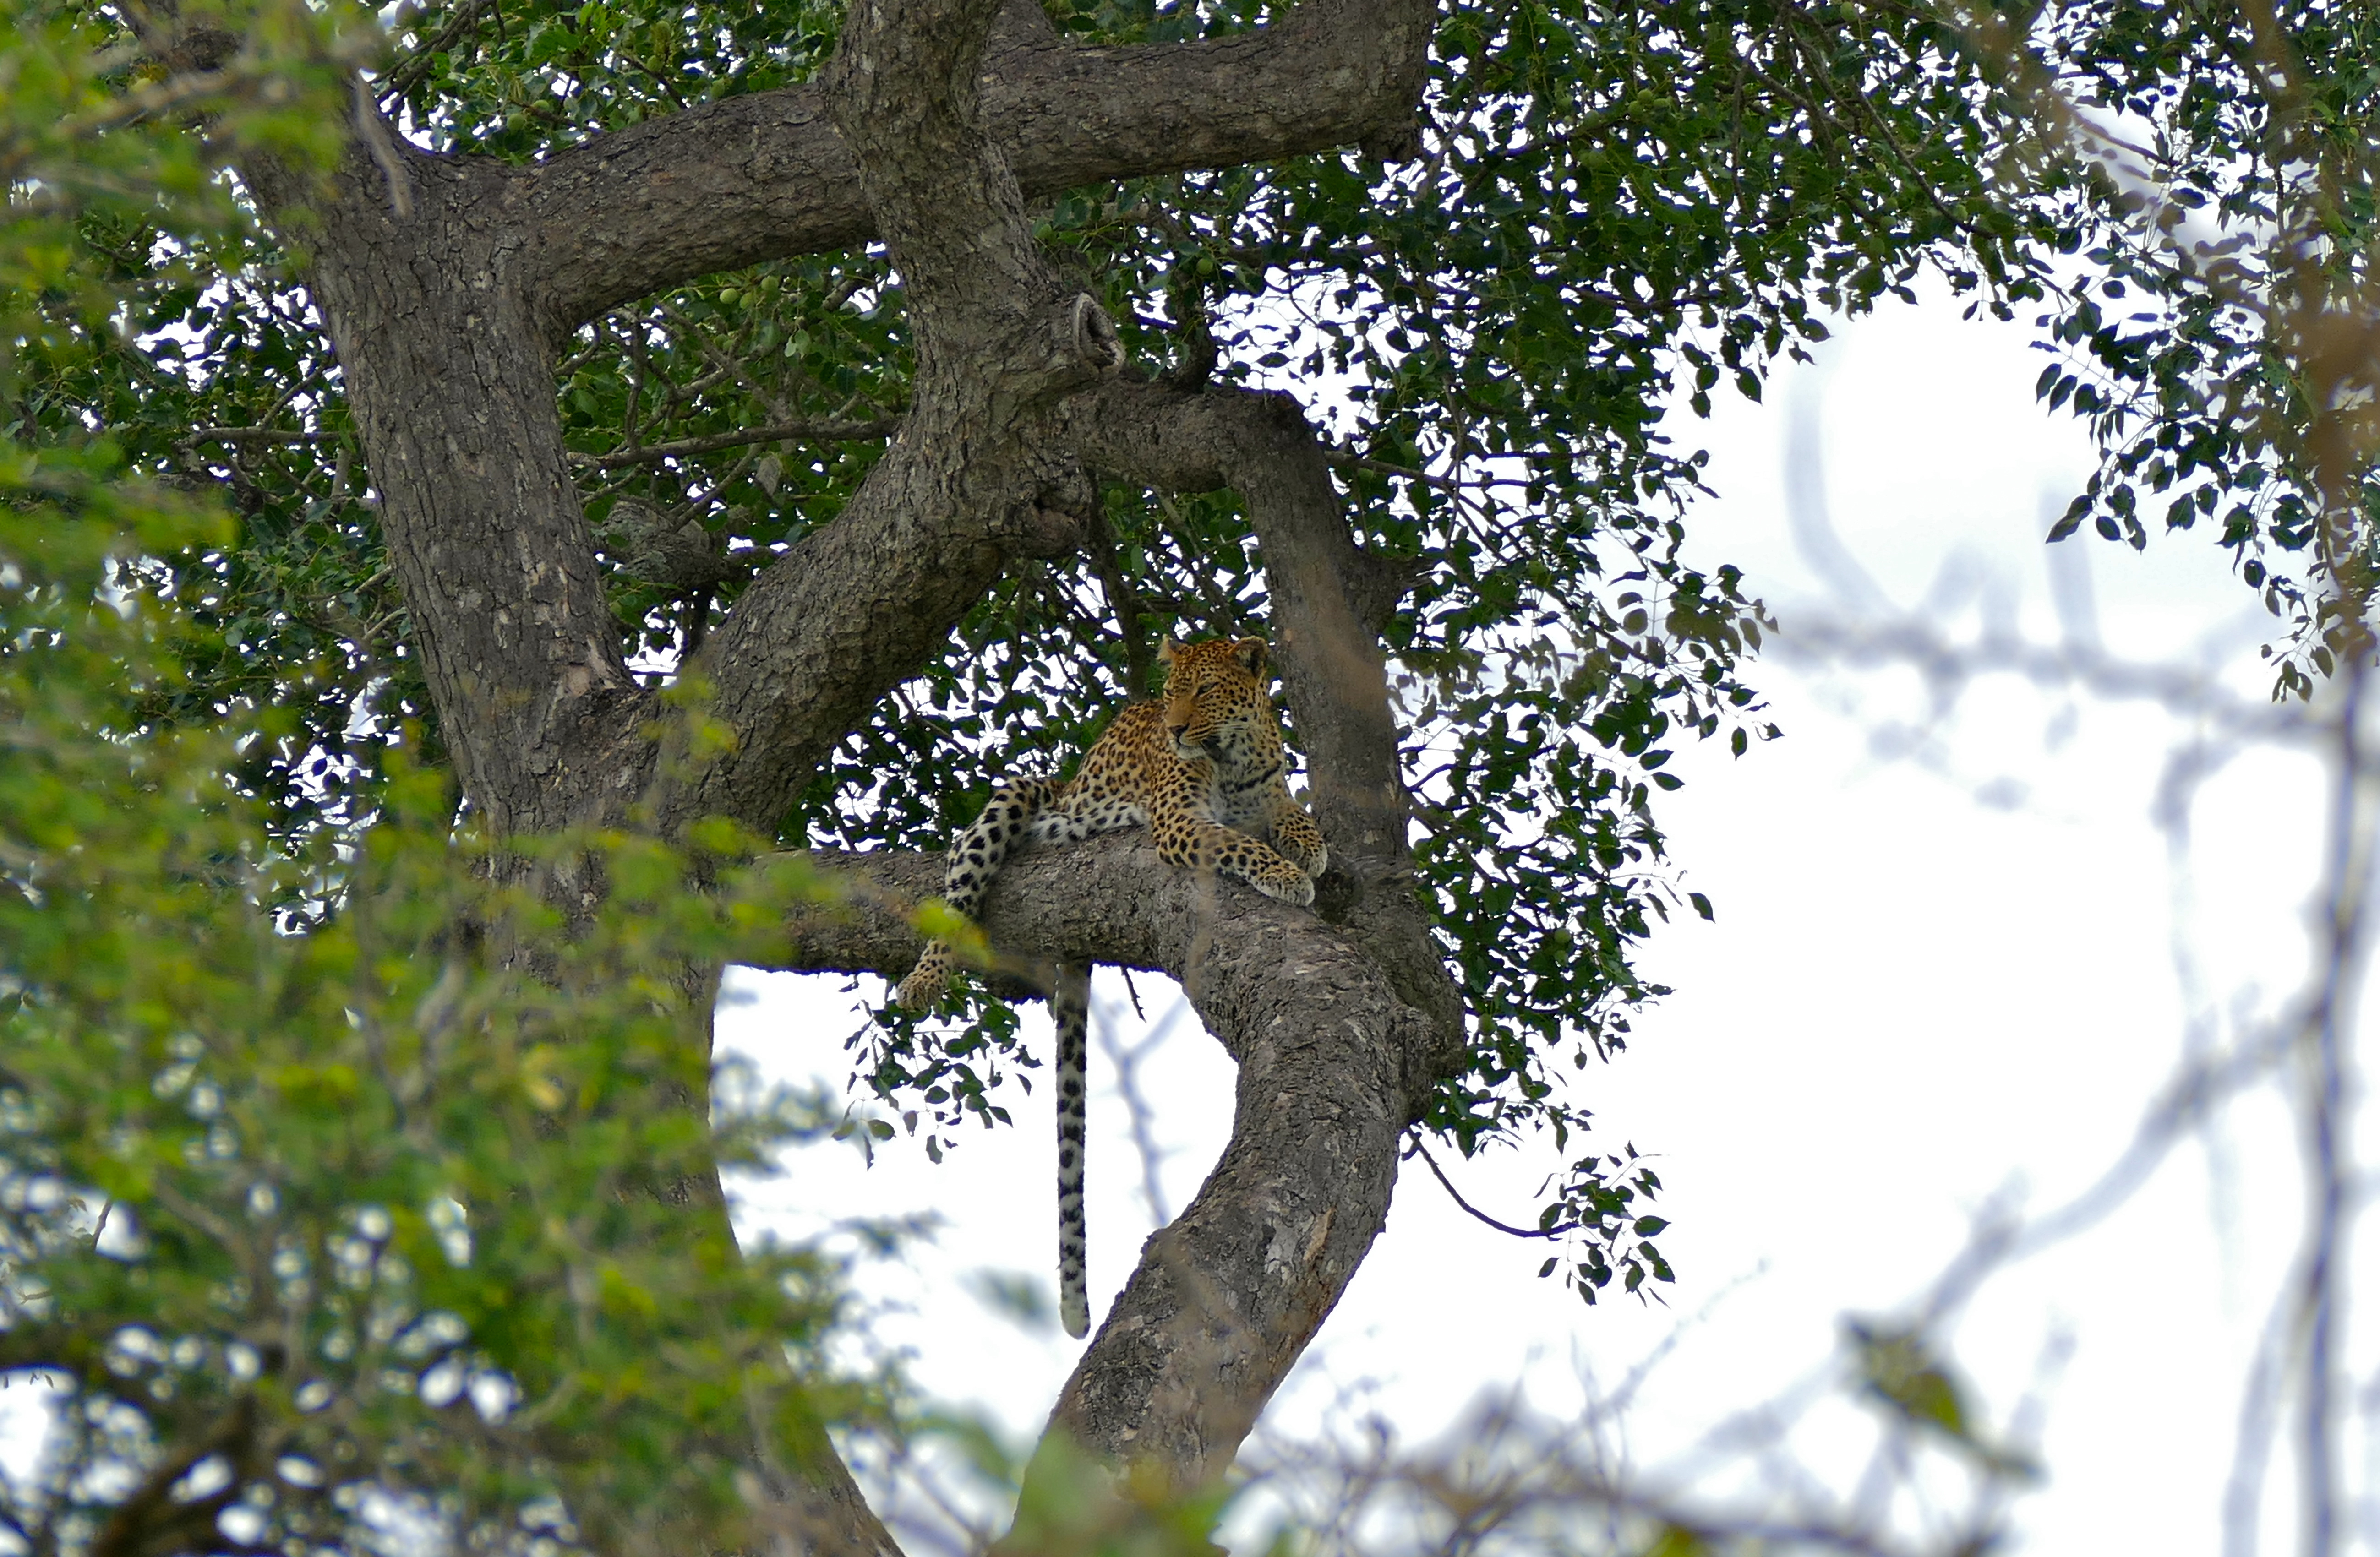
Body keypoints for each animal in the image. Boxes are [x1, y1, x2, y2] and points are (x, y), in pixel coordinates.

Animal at [895, 638, 1332, 1343]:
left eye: (1206, 691)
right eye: (1172, 692)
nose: (1176, 730)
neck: (1235, 756)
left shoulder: (1270, 794)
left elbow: (1293, 814)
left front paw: (1308, 848)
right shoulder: (1181, 822)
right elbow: (1238, 843)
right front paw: (1288, 876)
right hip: (1017, 795)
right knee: (960, 884)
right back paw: (924, 978)